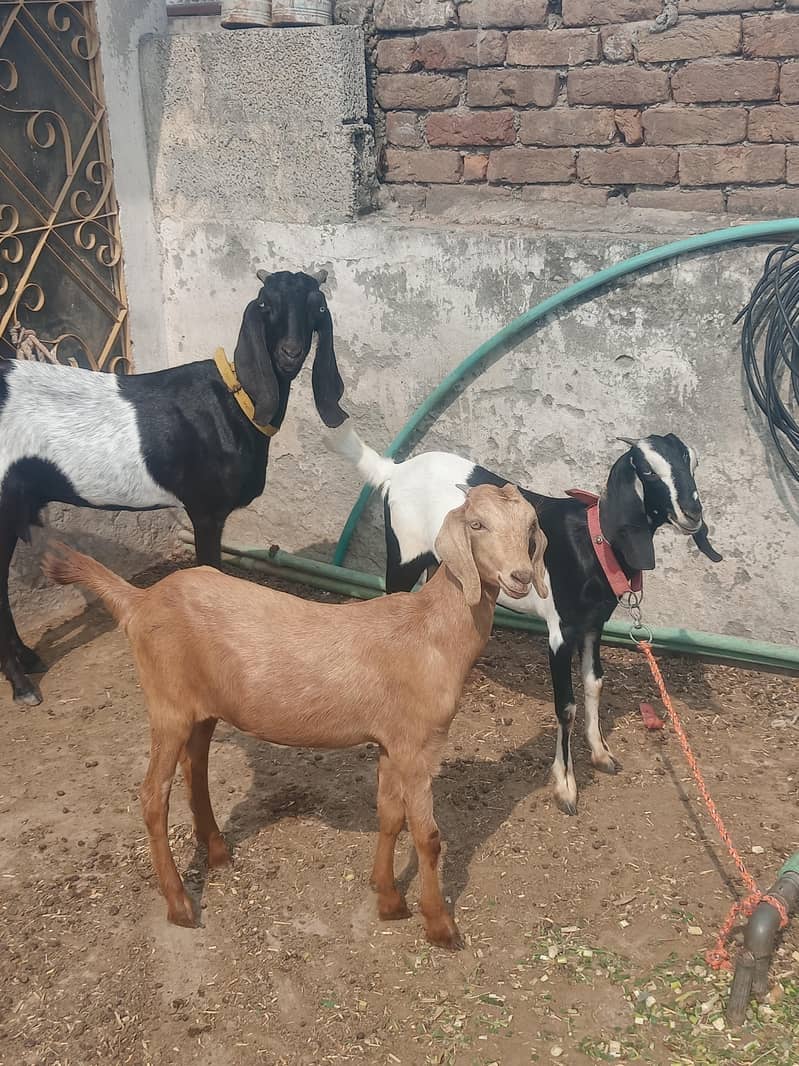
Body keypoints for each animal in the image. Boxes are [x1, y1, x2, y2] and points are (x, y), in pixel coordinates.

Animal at [0, 269, 346, 707]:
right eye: (266, 304)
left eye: (316, 307)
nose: (289, 353)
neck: (232, 404)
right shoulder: (206, 509)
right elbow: (210, 571)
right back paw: (22, 685)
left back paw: (27, 659)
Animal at [42, 483, 548, 947]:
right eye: (477, 525)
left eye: (530, 527)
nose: (521, 576)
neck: (431, 632)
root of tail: (139, 601)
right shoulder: (419, 744)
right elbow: (427, 834)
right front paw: (440, 926)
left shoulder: (392, 740)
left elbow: (389, 816)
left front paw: (387, 899)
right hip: (166, 704)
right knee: (153, 795)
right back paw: (180, 902)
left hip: (201, 707)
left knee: (195, 767)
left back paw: (217, 851)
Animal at [325, 424, 723, 816]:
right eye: (647, 471)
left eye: (692, 462)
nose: (692, 514)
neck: (593, 542)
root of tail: (393, 471)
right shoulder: (560, 631)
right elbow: (566, 705)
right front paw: (565, 787)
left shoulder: (593, 625)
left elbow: (594, 683)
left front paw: (601, 753)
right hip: (405, 555)